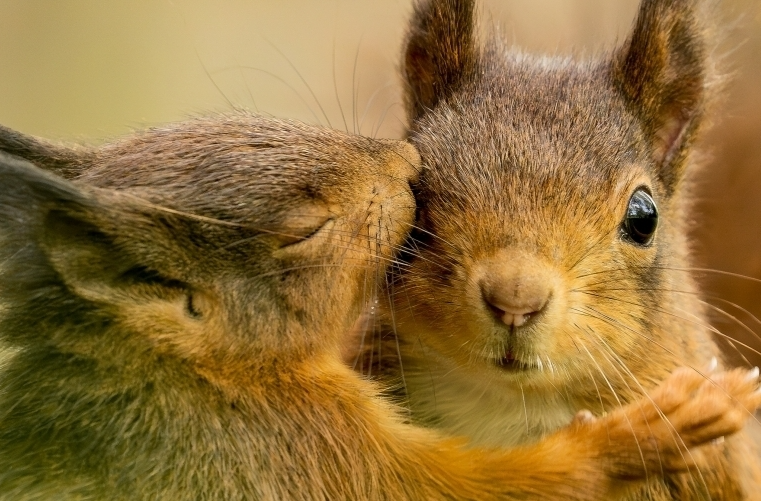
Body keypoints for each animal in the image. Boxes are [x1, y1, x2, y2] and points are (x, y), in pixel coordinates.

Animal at [2, 114, 756, 500]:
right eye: (303, 231)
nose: (406, 160)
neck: (207, 375)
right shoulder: (296, 449)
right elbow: (470, 487)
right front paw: (651, 428)